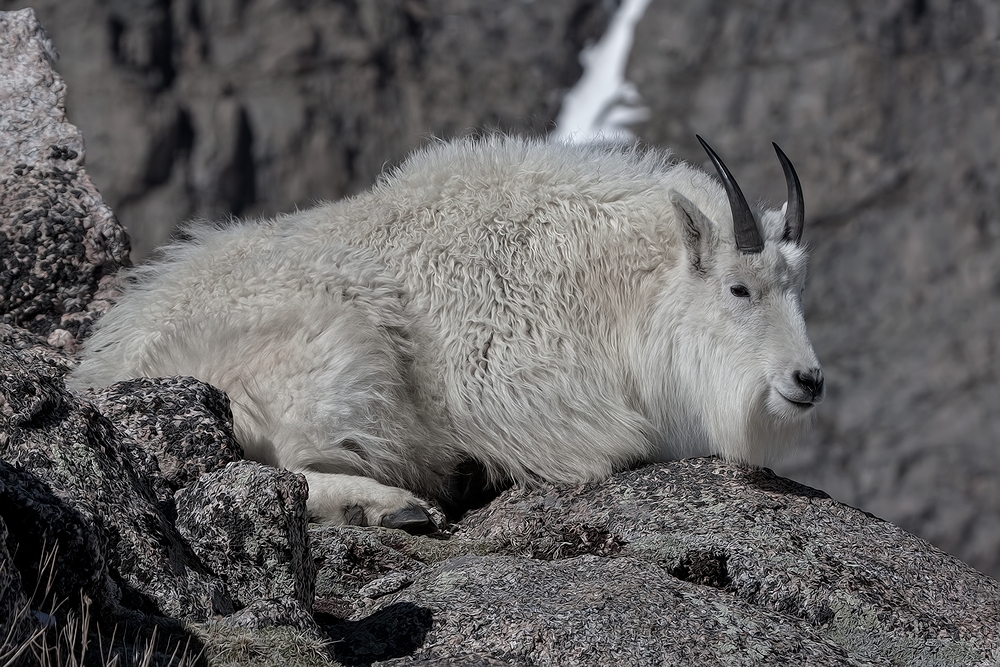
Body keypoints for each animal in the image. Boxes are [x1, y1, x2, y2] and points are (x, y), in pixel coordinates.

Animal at [68, 134, 820, 532]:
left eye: (796, 284)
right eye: (740, 288)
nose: (807, 380)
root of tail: (99, 370)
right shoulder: (521, 390)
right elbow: (619, 445)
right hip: (332, 347)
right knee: (275, 463)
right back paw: (398, 505)